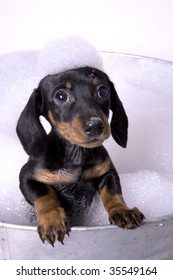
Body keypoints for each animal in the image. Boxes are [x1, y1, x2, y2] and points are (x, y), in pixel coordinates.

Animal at [16, 66, 145, 246]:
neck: (77, 155)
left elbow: (113, 193)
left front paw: (122, 210)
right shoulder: (27, 177)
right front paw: (52, 220)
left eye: (103, 91)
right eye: (61, 96)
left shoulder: (107, 172)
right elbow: (44, 194)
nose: (95, 125)